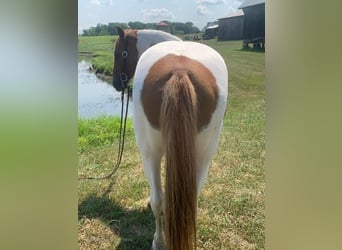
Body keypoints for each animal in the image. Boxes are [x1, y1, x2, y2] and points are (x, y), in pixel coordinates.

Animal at [113, 26, 228, 249]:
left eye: (117, 53)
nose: (115, 83)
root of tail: (180, 72)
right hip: (202, 157)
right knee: (191, 200)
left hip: (150, 154)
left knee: (158, 200)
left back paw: (159, 241)